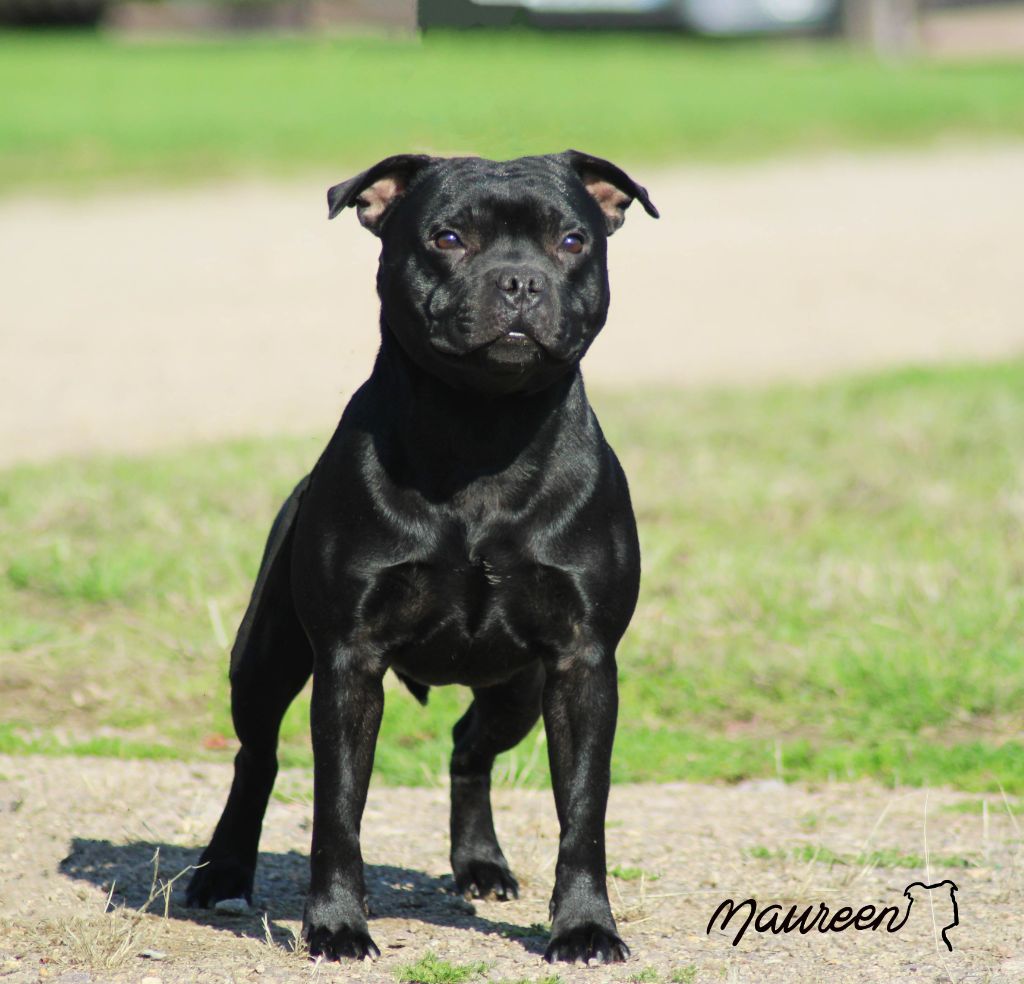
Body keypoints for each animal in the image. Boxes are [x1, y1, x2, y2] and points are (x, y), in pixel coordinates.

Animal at [185, 150, 658, 964]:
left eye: (572, 240)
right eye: (447, 237)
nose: (519, 281)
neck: (481, 431)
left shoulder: (581, 663)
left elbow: (583, 813)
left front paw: (585, 927)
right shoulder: (348, 661)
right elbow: (338, 809)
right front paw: (336, 925)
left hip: (518, 691)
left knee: (471, 747)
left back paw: (480, 865)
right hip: (266, 656)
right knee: (257, 756)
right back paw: (223, 872)